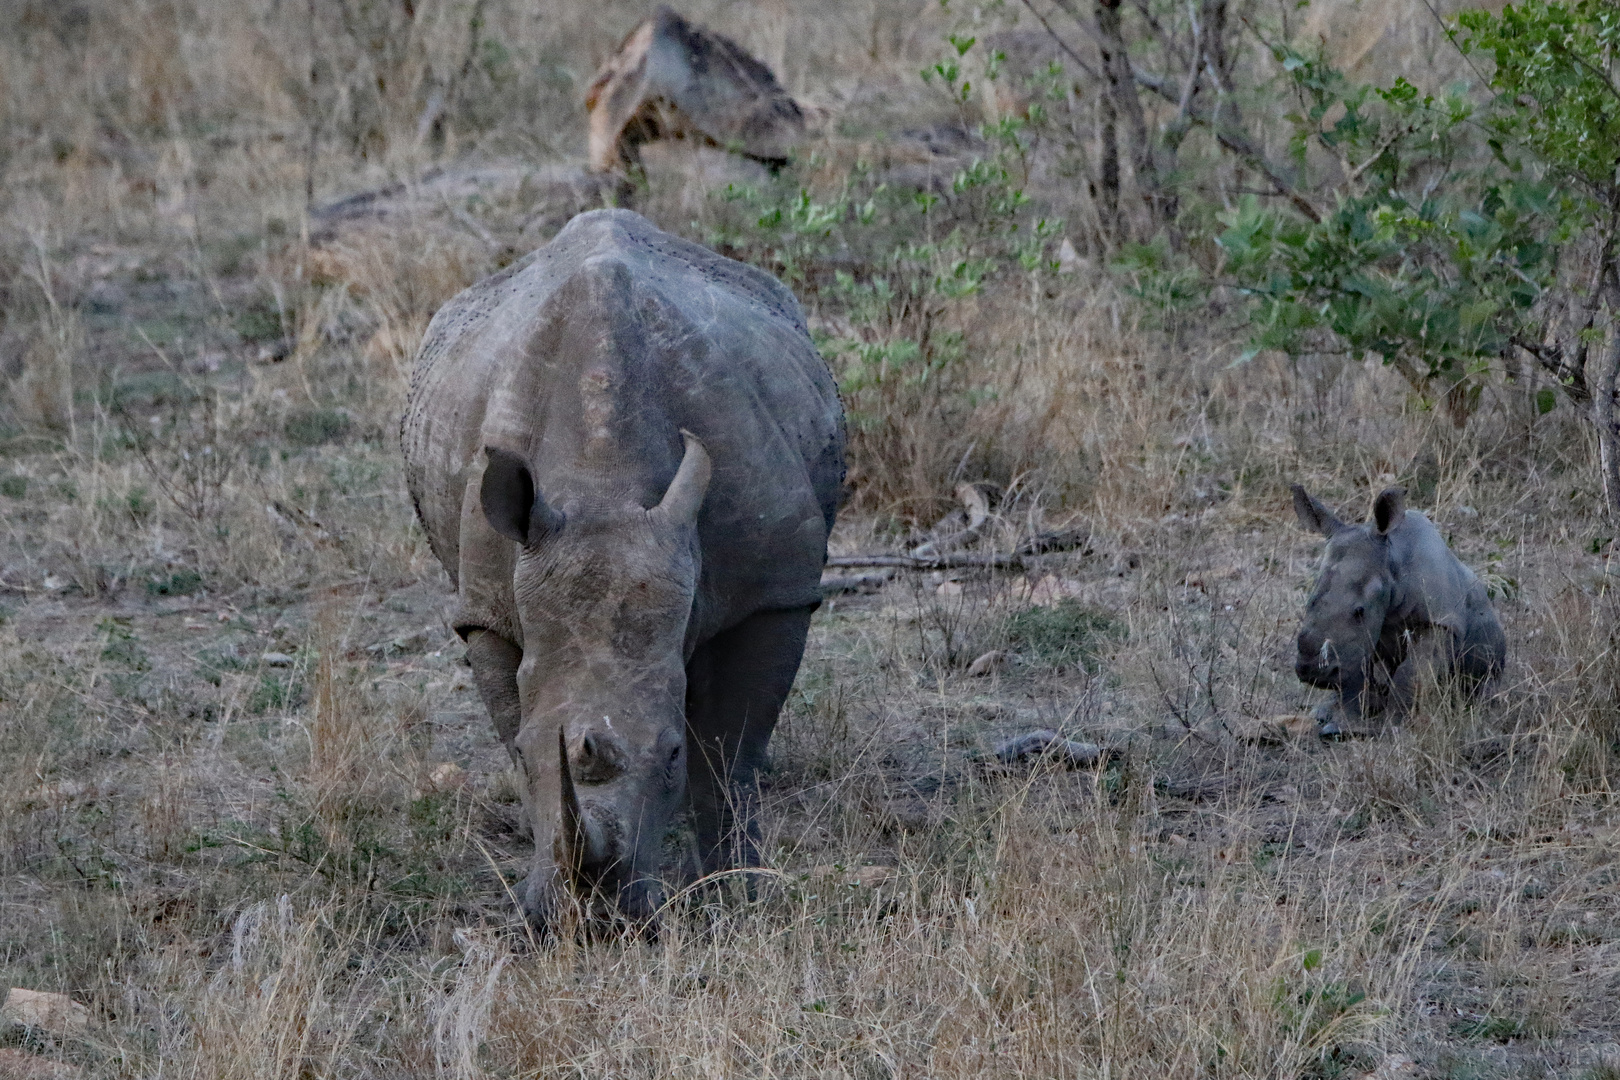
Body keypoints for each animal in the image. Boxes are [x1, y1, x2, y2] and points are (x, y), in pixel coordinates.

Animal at [401, 210, 848, 932]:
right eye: (527, 751)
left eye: (669, 756)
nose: (595, 925)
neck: (603, 482)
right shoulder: (486, 608)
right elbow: (514, 716)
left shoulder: (774, 593)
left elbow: (730, 748)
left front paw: (735, 891)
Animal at [1289, 488, 1503, 735]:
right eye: (1309, 603)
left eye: (1359, 611)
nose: (1312, 673)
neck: (1392, 563)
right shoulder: (1361, 639)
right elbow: (1358, 674)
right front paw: (1342, 724)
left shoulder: (1440, 623)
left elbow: (1410, 673)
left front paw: (1393, 725)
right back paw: (1321, 713)